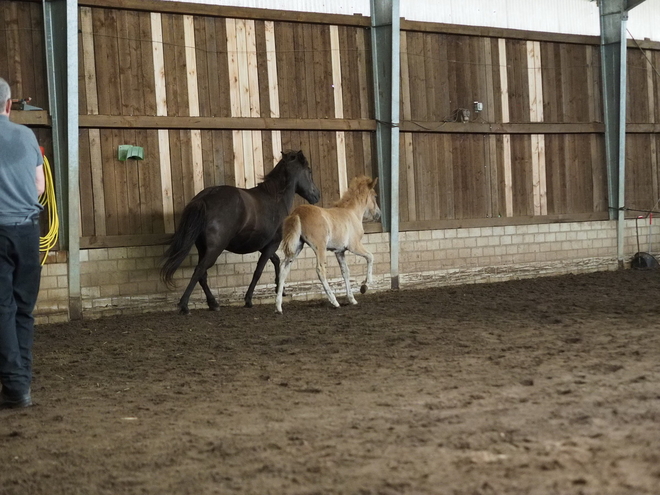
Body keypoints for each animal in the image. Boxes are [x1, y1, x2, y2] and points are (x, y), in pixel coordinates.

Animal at [162, 149, 322, 316]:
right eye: (309, 171)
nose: (317, 195)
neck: (276, 198)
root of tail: (204, 198)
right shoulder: (272, 244)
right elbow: (258, 271)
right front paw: (249, 299)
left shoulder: (263, 245)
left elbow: (276, 261)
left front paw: (280, 289)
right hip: (214, 249)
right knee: (199, 271)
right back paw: (184, 305)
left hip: (203, 249)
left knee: (202, 275)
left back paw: (213, 303)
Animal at [274, 175, 382, 314]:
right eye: (375, 196)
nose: (378, 214)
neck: (352, 213)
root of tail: (297, 213)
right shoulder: (354, 246)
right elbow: (370, 257)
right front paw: (365, 286)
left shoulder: (340, 251)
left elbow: (345, 272)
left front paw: (352, 299)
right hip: (320, 247)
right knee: (320, 269)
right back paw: (334, 301)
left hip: (296, 247)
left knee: (283, 268)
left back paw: (278, 307)